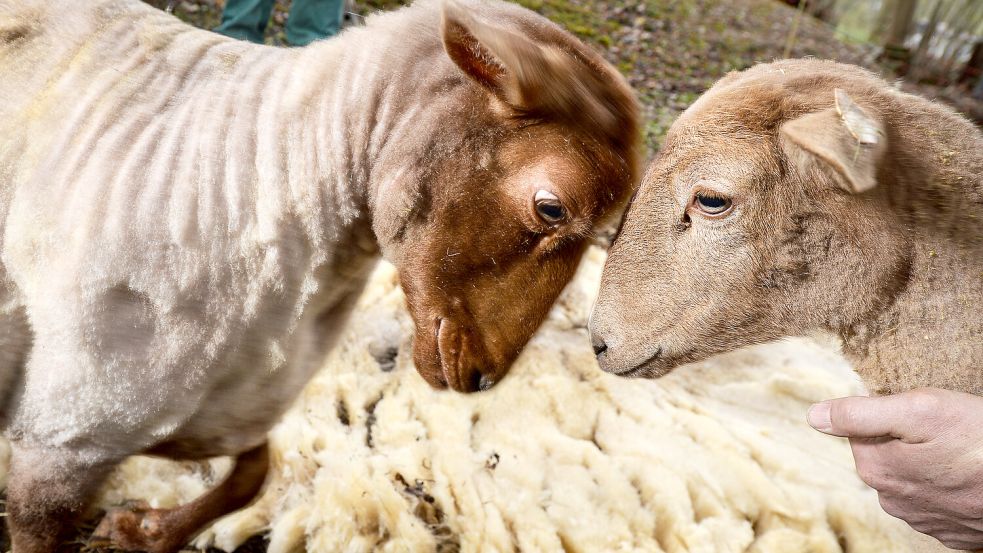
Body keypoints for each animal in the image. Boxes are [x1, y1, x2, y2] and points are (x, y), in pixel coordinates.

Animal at [0, 0, 640, 544]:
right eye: (552, 208)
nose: (484, 377)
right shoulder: (72, 429)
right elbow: (42, 523)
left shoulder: (223, 407)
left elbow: (254, 474)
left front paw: (145, 531)